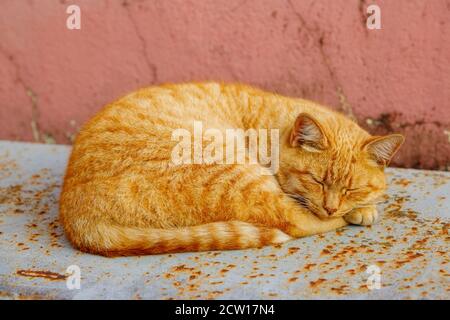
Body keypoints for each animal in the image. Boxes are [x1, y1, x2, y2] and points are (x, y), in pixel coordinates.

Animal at [58, 81, 402, 256]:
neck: (272, 126)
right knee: (293, 221)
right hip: (234, 171)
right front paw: (358, 211)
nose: (331, 206)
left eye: (352, 188)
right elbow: (306, 213)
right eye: (316, 180)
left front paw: (362, 206)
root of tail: (77, 218)